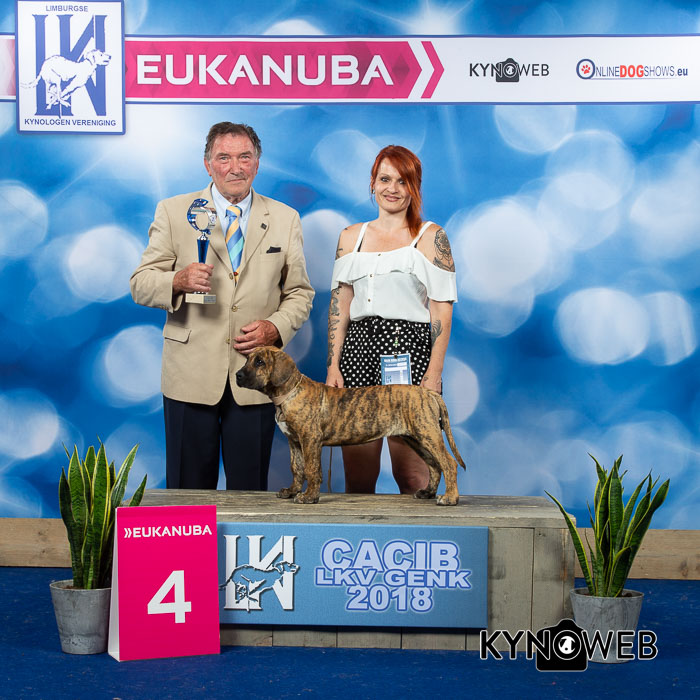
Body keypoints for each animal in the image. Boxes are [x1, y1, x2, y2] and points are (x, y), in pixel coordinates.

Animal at [235, 346, 466, 505]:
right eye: (247, 360)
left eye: (259, 362)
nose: (237, 375)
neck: (289, 393)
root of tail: (429, 392)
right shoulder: (295, 442)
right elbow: (297, 468)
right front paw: (292, 491)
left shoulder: (310, 440)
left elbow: (311, 469)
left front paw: (309, 496)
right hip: (416, 438)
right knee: (434, 465)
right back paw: (428, 492)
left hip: (428, 433)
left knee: (448, 463)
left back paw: (450, 498)